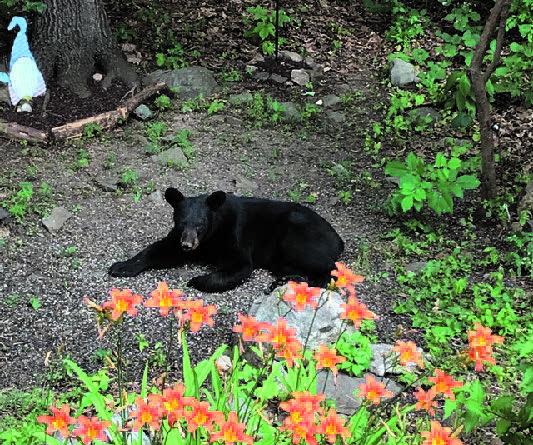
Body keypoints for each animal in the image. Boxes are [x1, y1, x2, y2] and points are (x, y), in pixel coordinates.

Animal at [109, 186, 342, 292]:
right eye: (182, 222)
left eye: (200, 224)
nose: (188, 245)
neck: (210, 236)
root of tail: (338, 238)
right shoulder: (180, 238)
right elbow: (161, 250)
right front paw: (121, 266)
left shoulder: (233, 235)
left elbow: (239, 265)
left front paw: (196, 280)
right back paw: (286, 280)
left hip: (297, 233)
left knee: (325, 264)